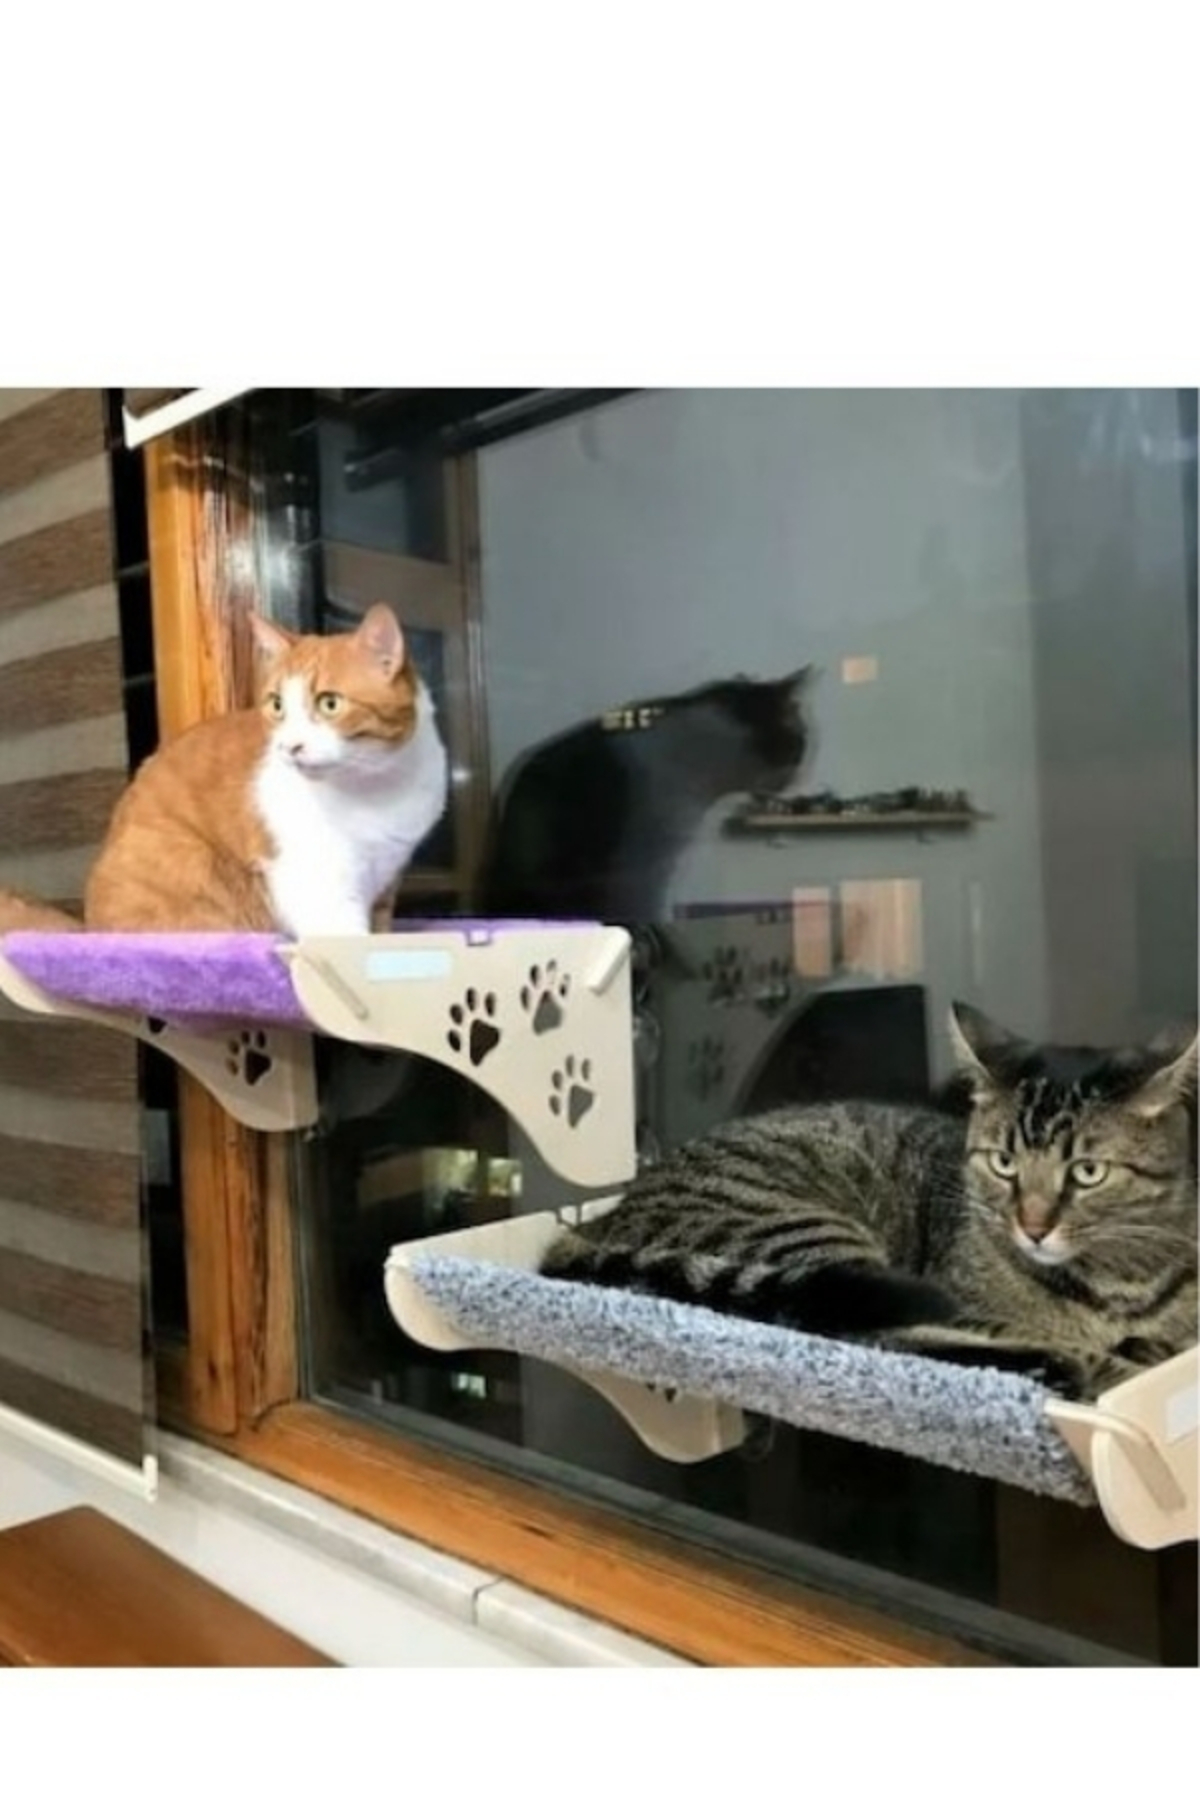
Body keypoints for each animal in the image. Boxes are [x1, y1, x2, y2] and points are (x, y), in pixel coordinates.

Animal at [0, 605, 449, 938]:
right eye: (277, 705)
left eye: (330, 704)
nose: (290, 746)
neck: (376, 787)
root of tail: (88, 929)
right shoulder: (313, 876)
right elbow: (343, 937)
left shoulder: (385, 878)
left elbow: (378, 931)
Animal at [541, 1002, 1199, 1400]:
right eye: (1004, 1163)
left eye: (1087, 1172)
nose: (1032, 1225)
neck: (1117, 1283)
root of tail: (603, 1220)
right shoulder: (963, 1297)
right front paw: (1109, 1364)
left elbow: (1168, 1346)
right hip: (809, 1232)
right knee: (865, 1334)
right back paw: (1053, 1364)